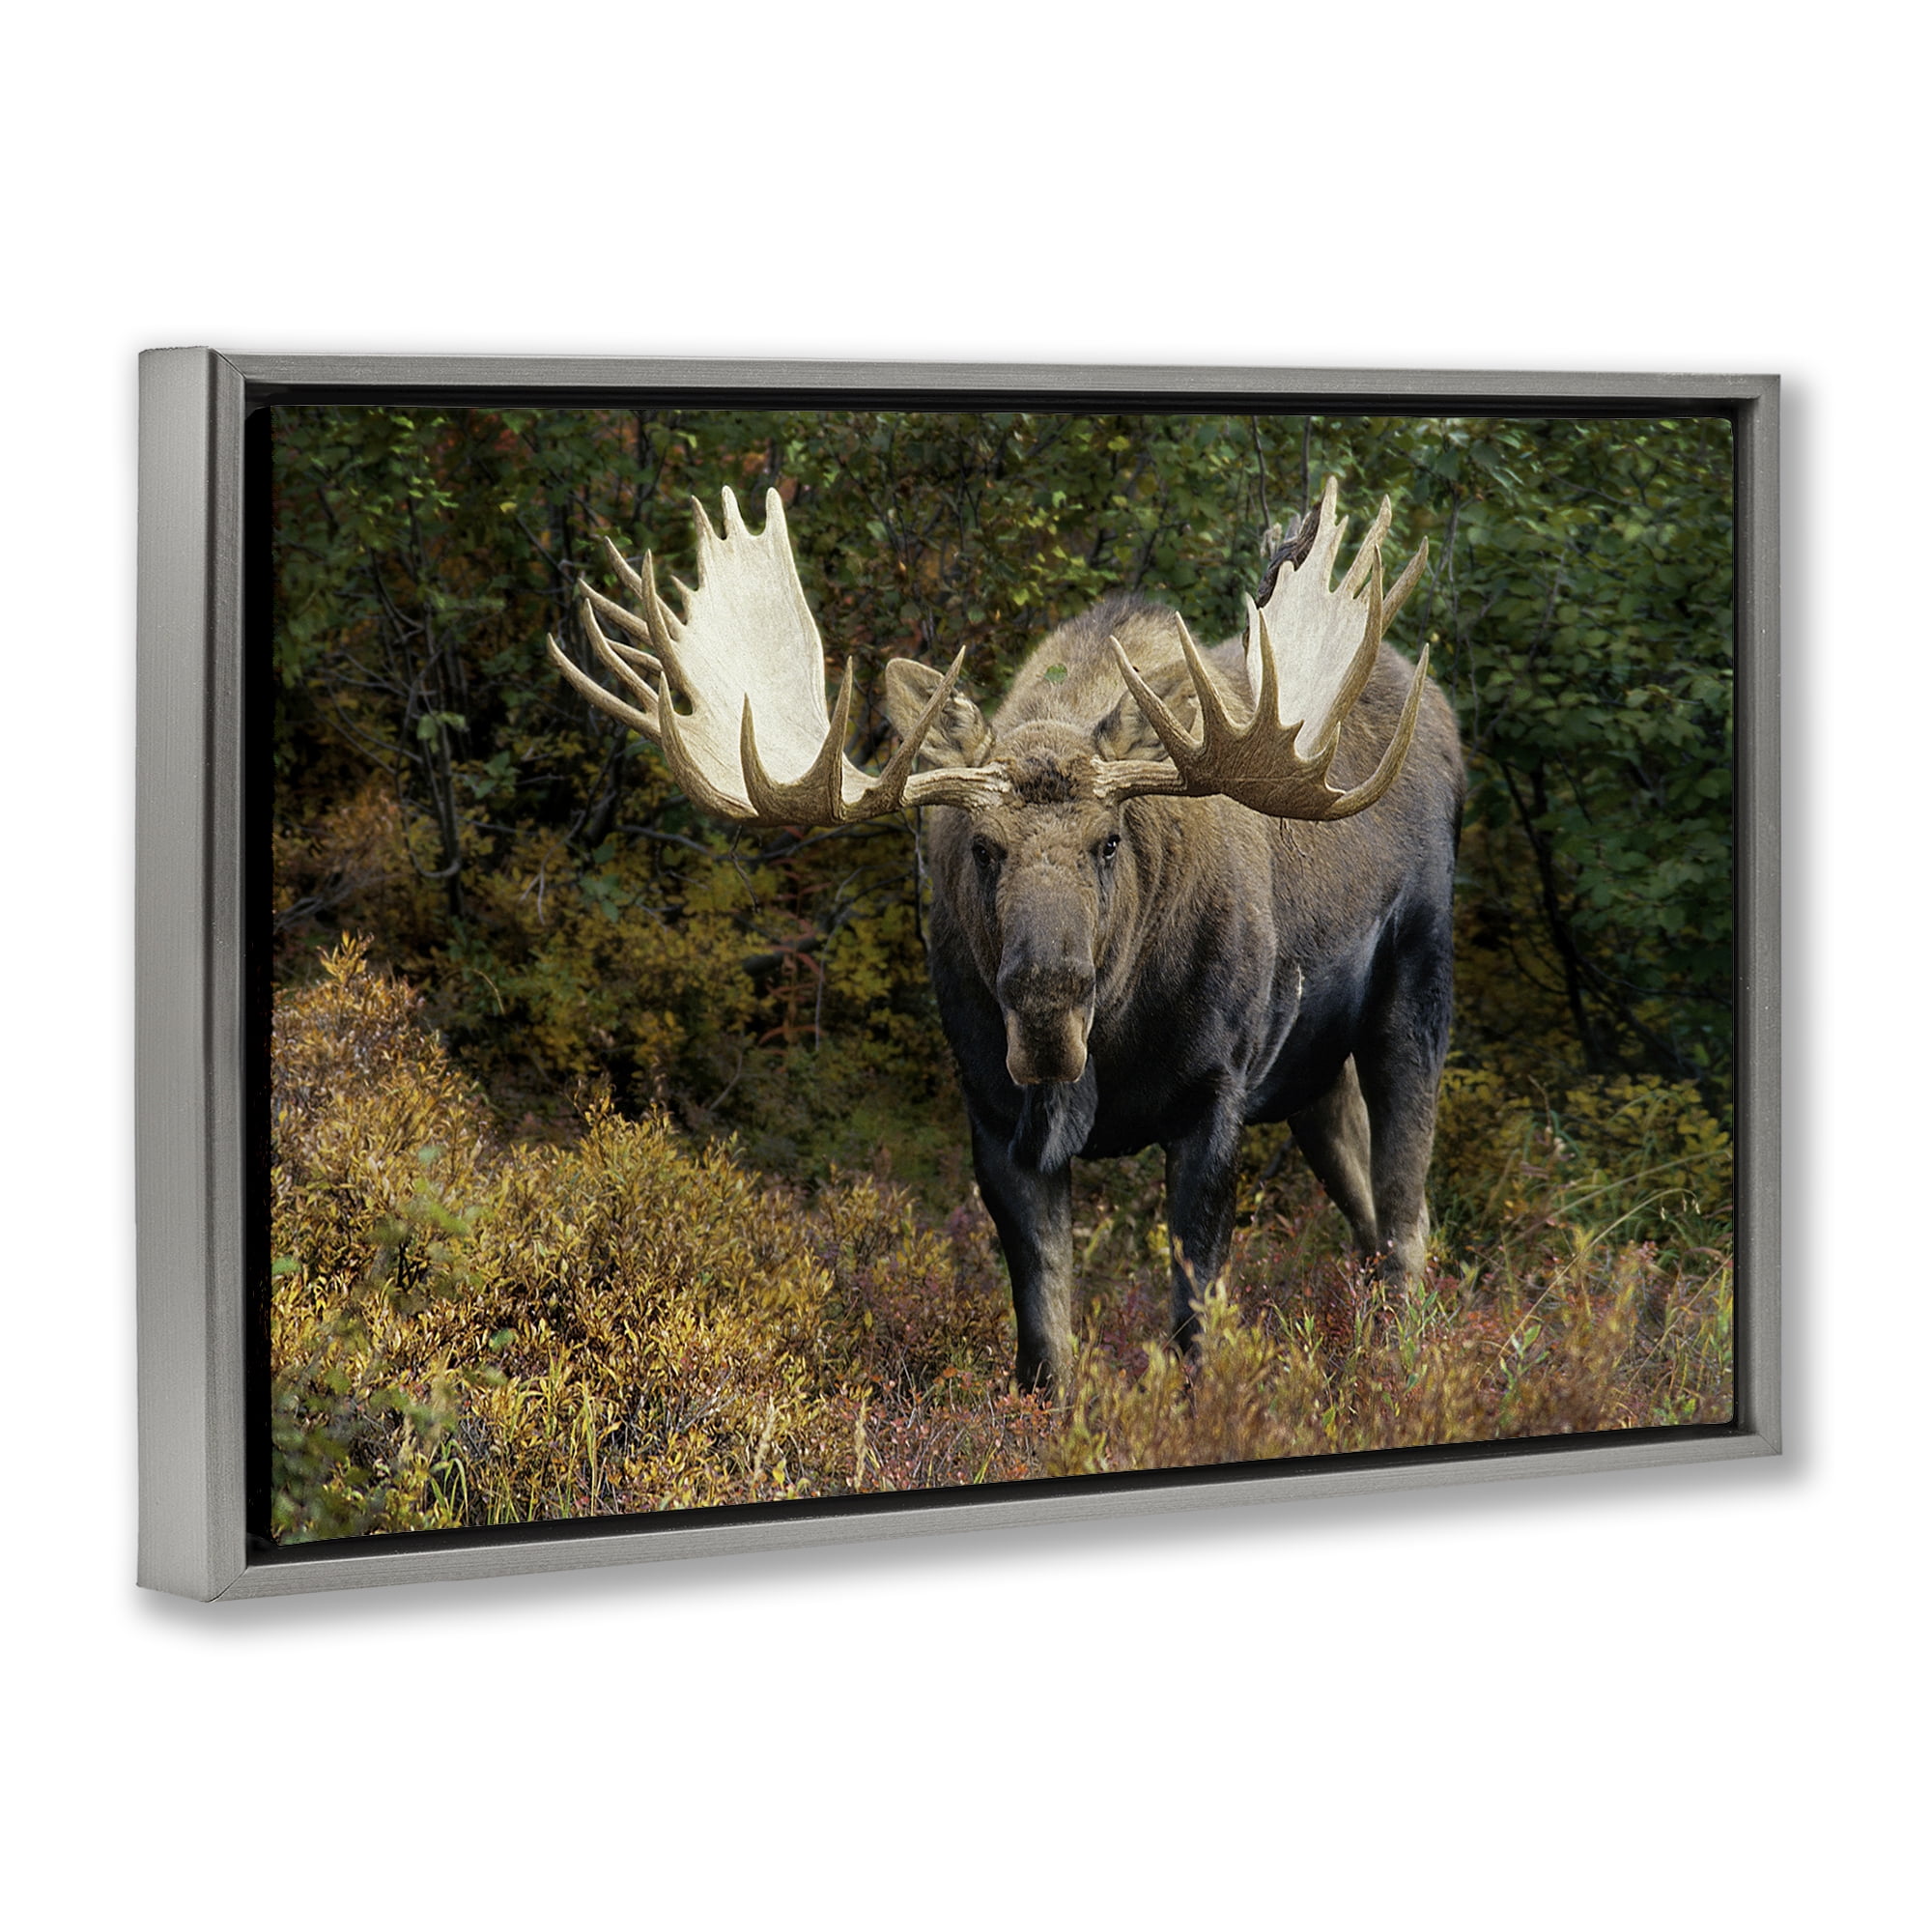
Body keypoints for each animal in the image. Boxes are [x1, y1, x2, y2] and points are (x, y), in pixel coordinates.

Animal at [547, 479, 1463, 1392]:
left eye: (1109, 840)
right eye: (984, 848)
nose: (1047, 1007)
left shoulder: (1216, 1091)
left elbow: (1197, 1319)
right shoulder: (993, 1114)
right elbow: (1044, 1342)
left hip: (1415, 984)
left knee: (1406, 1215)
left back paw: (1407, 1363)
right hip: (1313, 1073)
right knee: (1368, 1208)